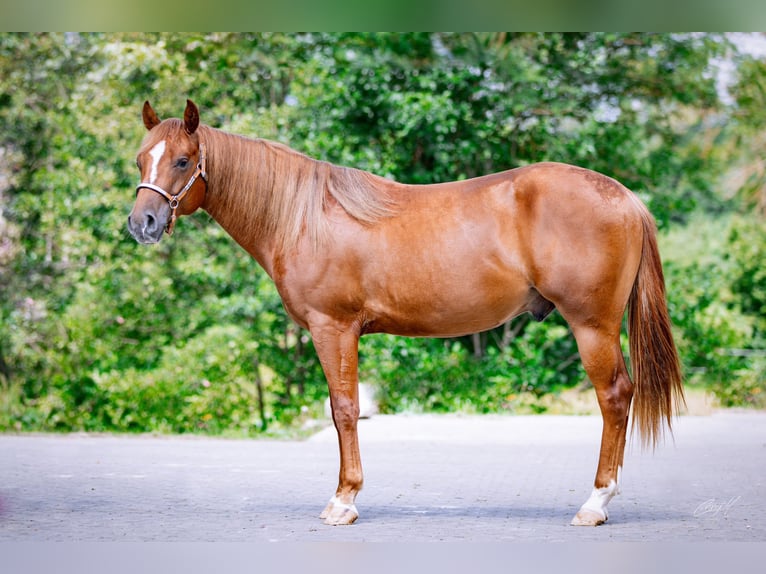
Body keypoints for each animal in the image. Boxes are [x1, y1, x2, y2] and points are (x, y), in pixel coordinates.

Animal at [126, 99, 684, 528]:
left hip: (592, 326)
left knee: (615, 397)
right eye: (139, 160)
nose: (142, 223)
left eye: (183, 161)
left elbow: (344, 410)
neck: (303, 217)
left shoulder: (334, 328)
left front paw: (343, 501)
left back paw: (595, 503)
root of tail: (625, 197)